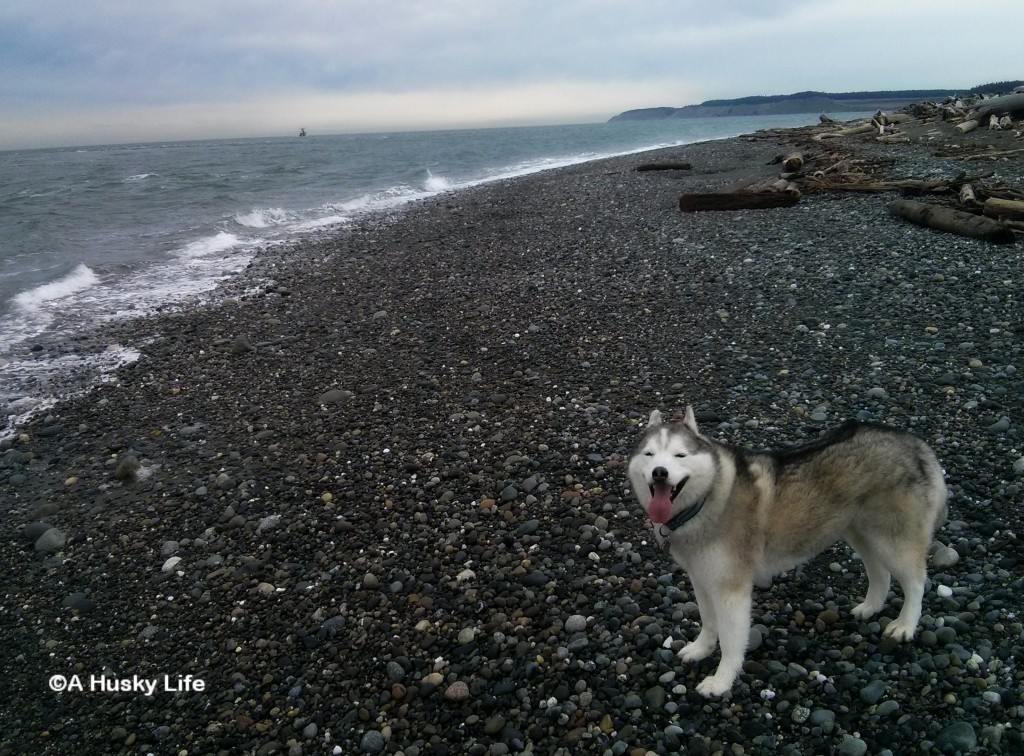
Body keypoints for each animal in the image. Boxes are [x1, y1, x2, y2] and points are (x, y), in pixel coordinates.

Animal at [626, 405, 946, 696]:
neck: (707, 499)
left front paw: (722, 681)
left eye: (680, 455)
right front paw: (700, 649)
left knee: (916, 582)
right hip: (860, 533)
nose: (659, 473)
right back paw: (870, 607)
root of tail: (915, 443)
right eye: (649, 455)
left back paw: (905, 624)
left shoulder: (731, 590)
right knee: (880, 574)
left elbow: (730, 642)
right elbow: (707, 621)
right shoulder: (701, 579)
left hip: (893, 540)